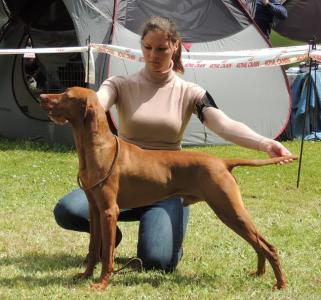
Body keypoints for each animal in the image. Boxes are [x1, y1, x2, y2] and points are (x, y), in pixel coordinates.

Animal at [40, 86, 296, 290]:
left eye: (66, 95)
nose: (41, 95)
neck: (98, 149)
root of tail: (222, 162)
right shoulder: (95, 209)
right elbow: (94, 249)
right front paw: (85, 276)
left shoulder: (109, 211)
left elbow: (107, 255)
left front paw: (102, 284)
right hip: (230, 212)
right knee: (258, 244)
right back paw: (259, 273)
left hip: (230, 210)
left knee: (268, 246)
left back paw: (281, 284)